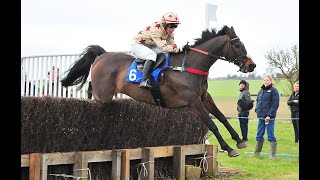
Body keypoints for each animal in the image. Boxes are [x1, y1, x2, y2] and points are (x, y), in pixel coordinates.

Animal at [61, 25, 256, 158]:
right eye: (238, 45)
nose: (251, 65)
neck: (189, 66)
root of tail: (103, 55)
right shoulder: (192, 101)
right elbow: (211, 123)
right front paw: (228, 148)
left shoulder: (204, 97)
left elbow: (222, 117)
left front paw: (239, 141)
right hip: (102, 94)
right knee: (91, 93)